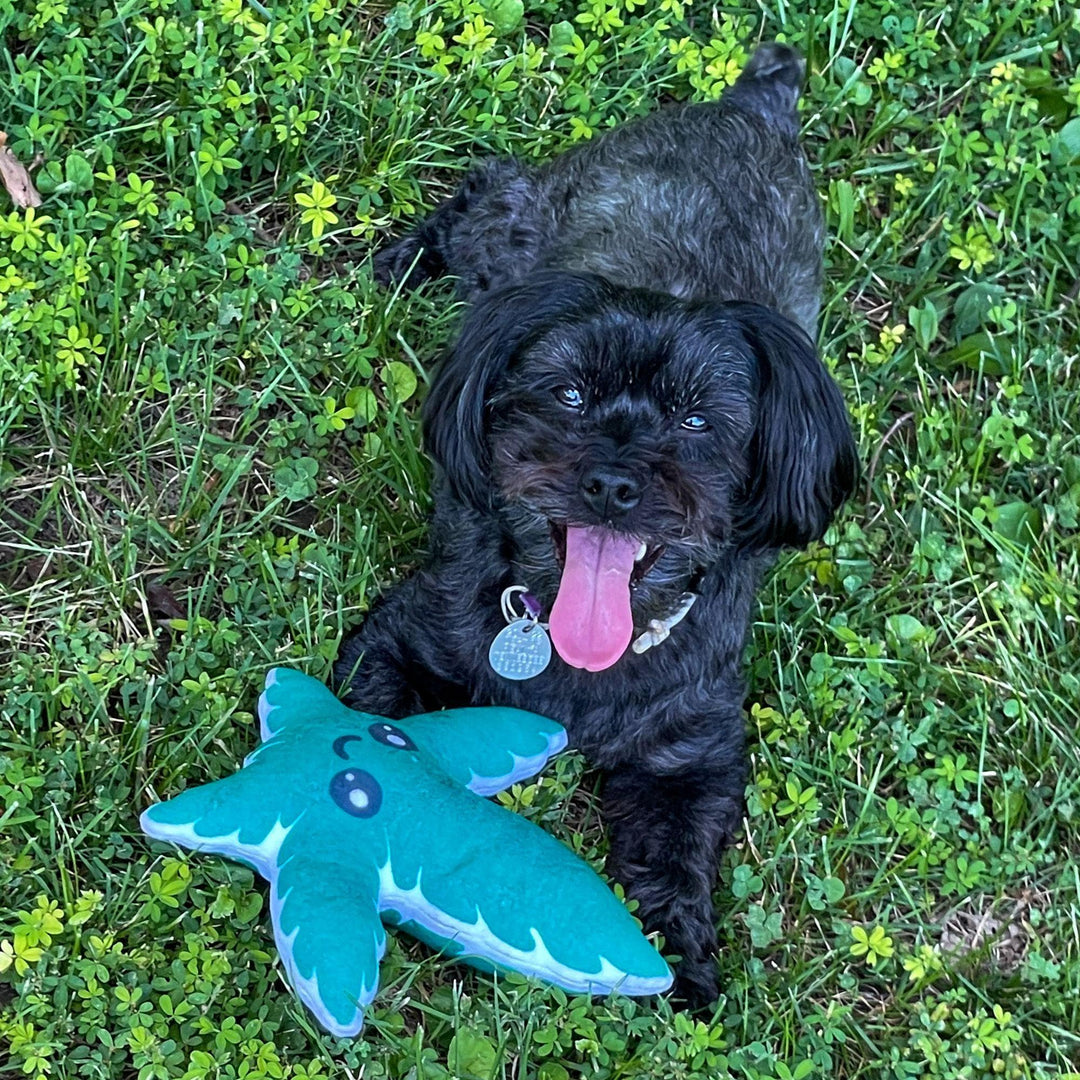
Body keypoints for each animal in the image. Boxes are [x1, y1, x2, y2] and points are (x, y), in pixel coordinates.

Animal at [332, 42, 855, 1002]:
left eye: (698, 419)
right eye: (569, 394)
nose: (613, 482)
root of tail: (754, 103)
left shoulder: (694, 752)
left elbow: (676, 855)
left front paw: (682, 957)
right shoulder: (401, 637)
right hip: (518, 227)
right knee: (485, 192)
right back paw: (409, 256)